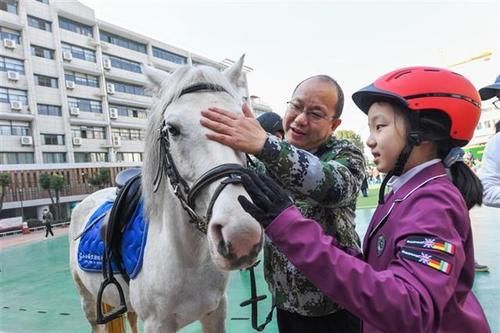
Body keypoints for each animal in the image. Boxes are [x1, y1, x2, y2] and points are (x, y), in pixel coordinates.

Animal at [71, 57, 266, 332]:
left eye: (244, 124)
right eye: (172, 129)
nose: (241, 234)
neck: (188, 257)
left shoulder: (216, 312)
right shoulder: (157, 324)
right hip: (87, 301)